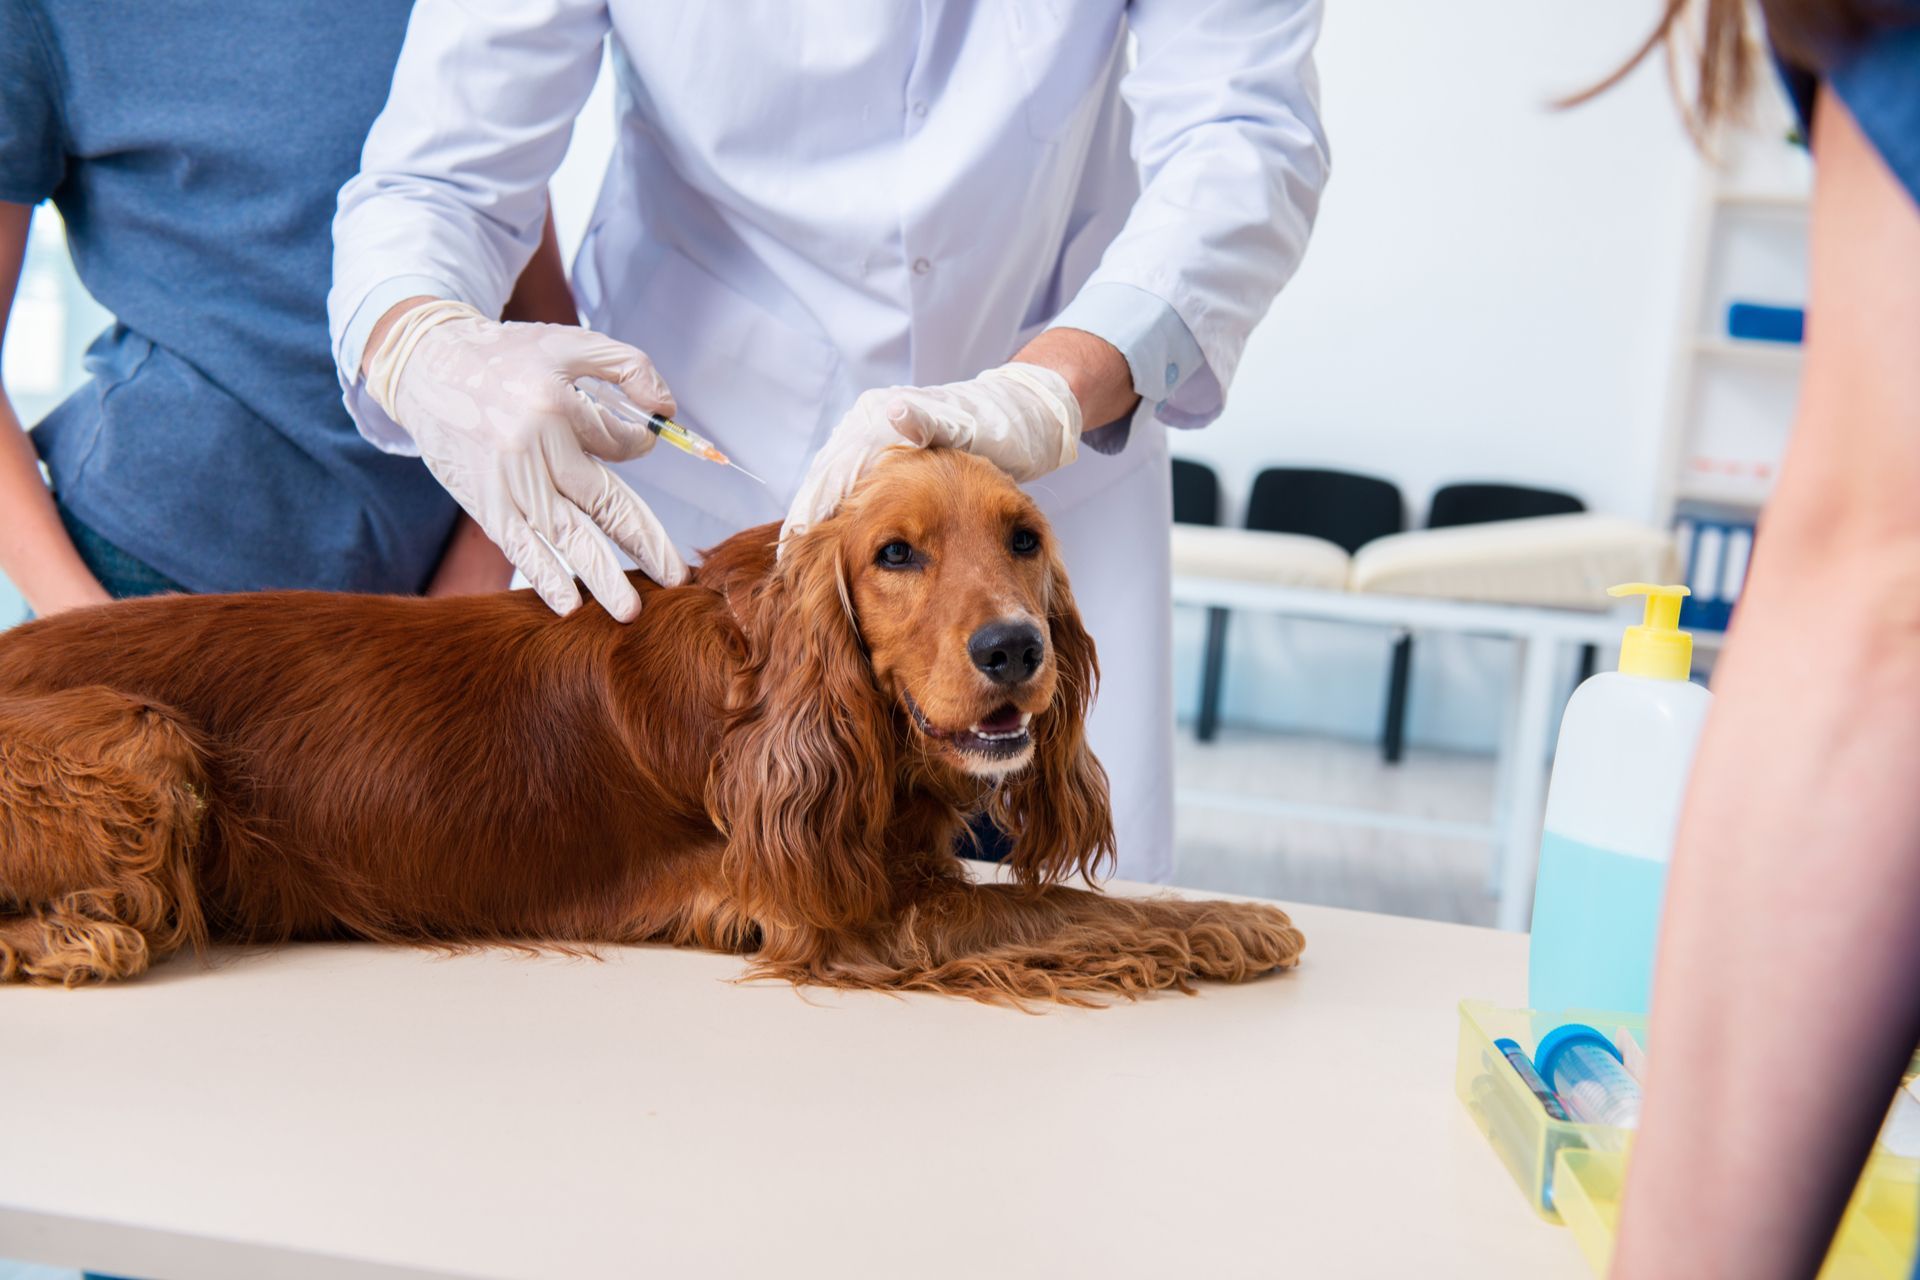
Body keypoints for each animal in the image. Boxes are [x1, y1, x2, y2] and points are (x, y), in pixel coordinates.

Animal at [0, 448, 1303, 1001]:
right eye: (896, 554)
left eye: (1024, 539)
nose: (1014, 651)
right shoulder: (851, 915)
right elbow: (1070, 908)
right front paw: (1241, 918)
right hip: (144, 737)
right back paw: (76, 936)